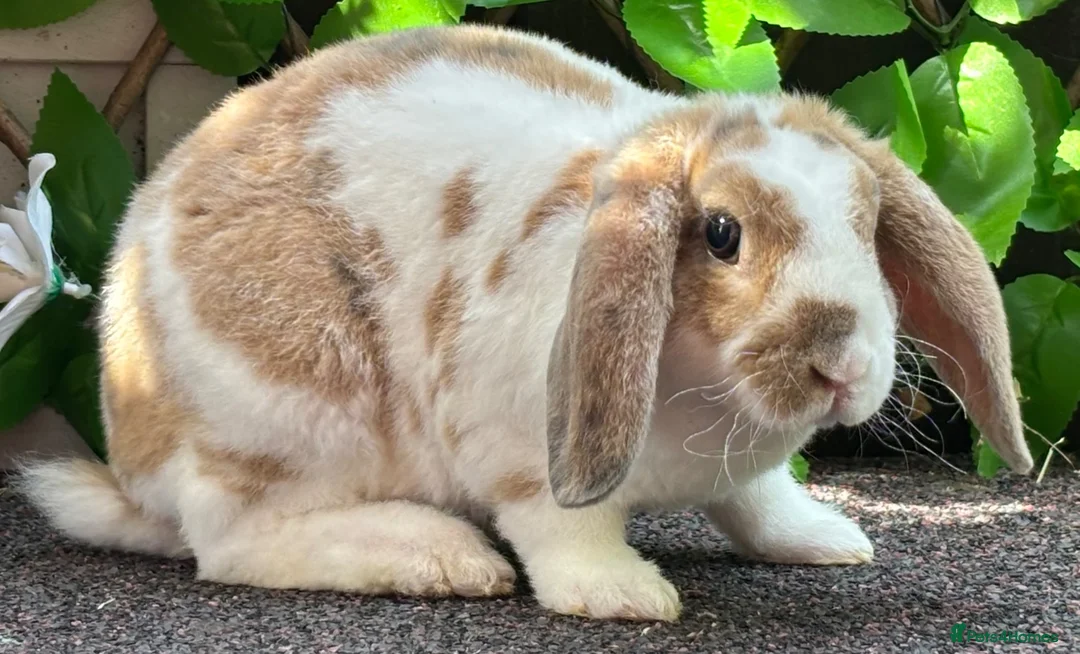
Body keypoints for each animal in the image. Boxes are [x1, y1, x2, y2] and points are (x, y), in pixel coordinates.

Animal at [18, 23, 1033, 622]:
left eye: (866, 220)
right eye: (721, 233)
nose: (840, 367)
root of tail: (134, 455)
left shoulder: (743, 472)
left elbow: (757, 499)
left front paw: (826, 540)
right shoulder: (517, 448)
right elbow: (562, 533)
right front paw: (623, 594)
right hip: (288, 409)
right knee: (230, 543)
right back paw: (438, 557)